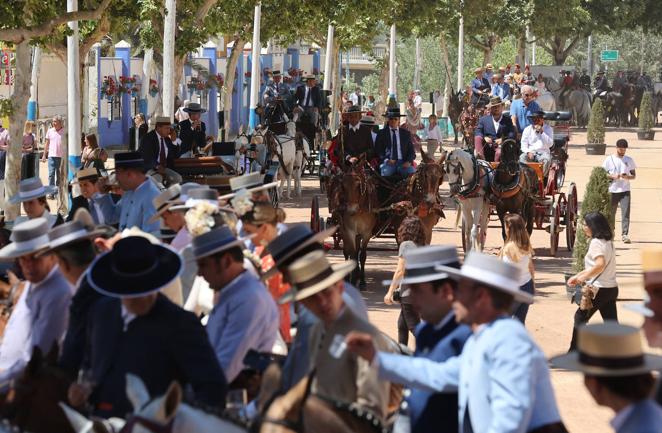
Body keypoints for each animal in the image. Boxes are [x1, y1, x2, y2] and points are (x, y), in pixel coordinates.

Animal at [340, 157, 376, 288]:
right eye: (343, 185)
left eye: (358, 185)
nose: (351, 210)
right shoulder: (349, 231)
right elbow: (353, 255)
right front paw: (353, 279)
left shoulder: (367, 233)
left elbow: (362, 255)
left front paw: (362, 282)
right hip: (343, 230)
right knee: (347, 252)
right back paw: (348, 277)